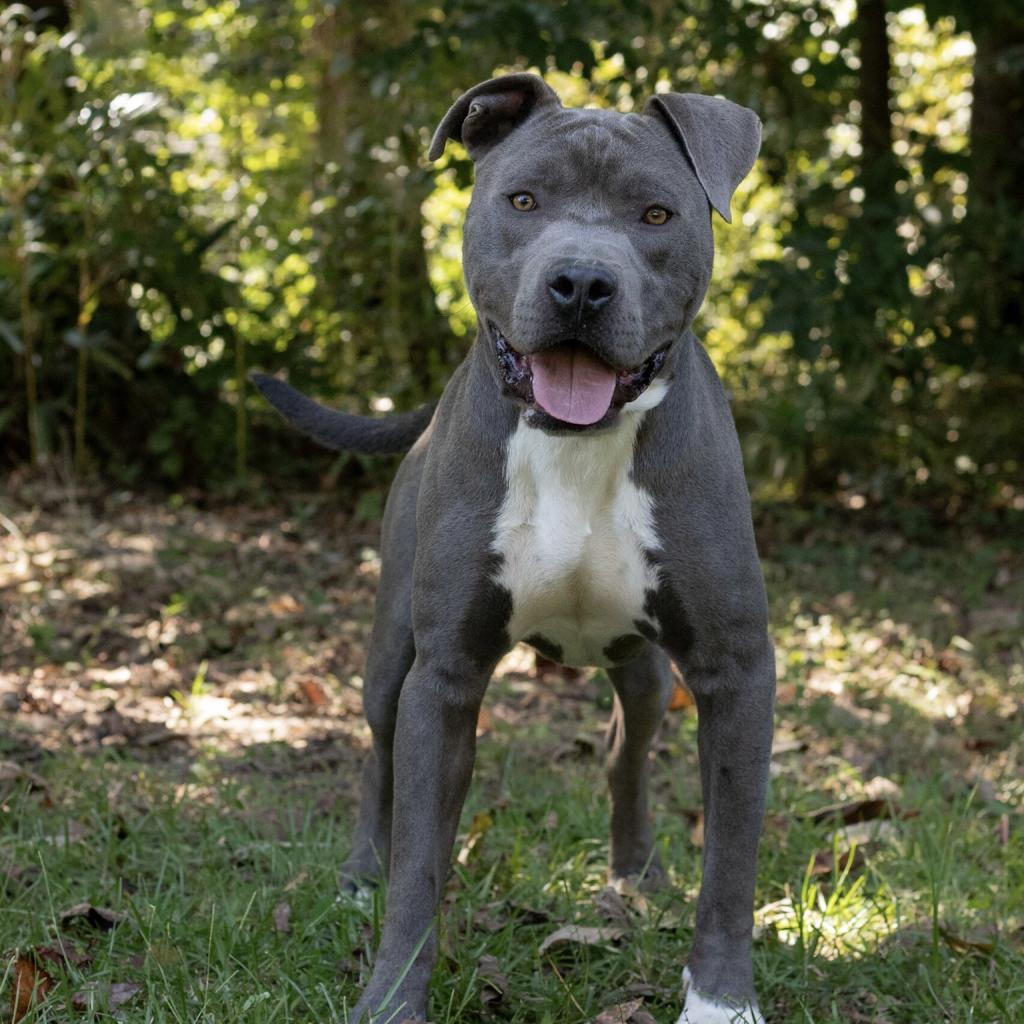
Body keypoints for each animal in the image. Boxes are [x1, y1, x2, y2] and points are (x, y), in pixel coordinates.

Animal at [251, 74, 770, 1024]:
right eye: (523, 200)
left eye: (656, 213)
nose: (582, 283)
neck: (577, 443)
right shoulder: (444, 675)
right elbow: (420, 864)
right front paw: (391, 997)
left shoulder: (736, 670)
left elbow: (731, 866)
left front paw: (720, 1002)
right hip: (390, 651)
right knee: (376, 756)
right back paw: (357, 875)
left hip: (645, 671)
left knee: (626, 750)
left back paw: (636, 876)